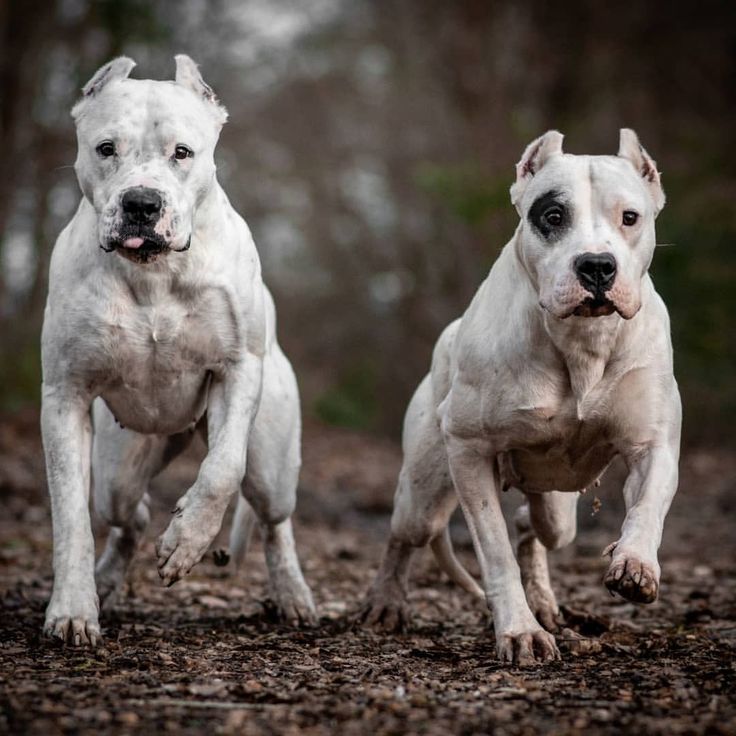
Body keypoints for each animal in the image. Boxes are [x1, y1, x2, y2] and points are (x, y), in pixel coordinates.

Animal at [41, 57, 316, 644]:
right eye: (106, 148)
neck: (155, 273)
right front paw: (73, 608)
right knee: (130, 515)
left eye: (182, 153)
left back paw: (292, 594)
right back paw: (107, 581)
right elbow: (70, 515)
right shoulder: (65, 396)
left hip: (273, 466)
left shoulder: (237, 370)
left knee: (274, 518)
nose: (142, 203)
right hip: (118, 468)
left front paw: (188, 539)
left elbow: (223, 469)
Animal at [360, 131, 680, 668]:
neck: (580, 343)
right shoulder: (470, 452)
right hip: (424, 493)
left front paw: (635, 563)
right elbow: (495, 553)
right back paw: (387, 602)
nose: (597, 265)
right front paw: (520, 631)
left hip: (559, 508)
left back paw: (546, 600)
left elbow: (648, 505)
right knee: (406, 535)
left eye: (630, 217)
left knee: (536, 526)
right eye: (552, 216)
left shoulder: (652, 443)